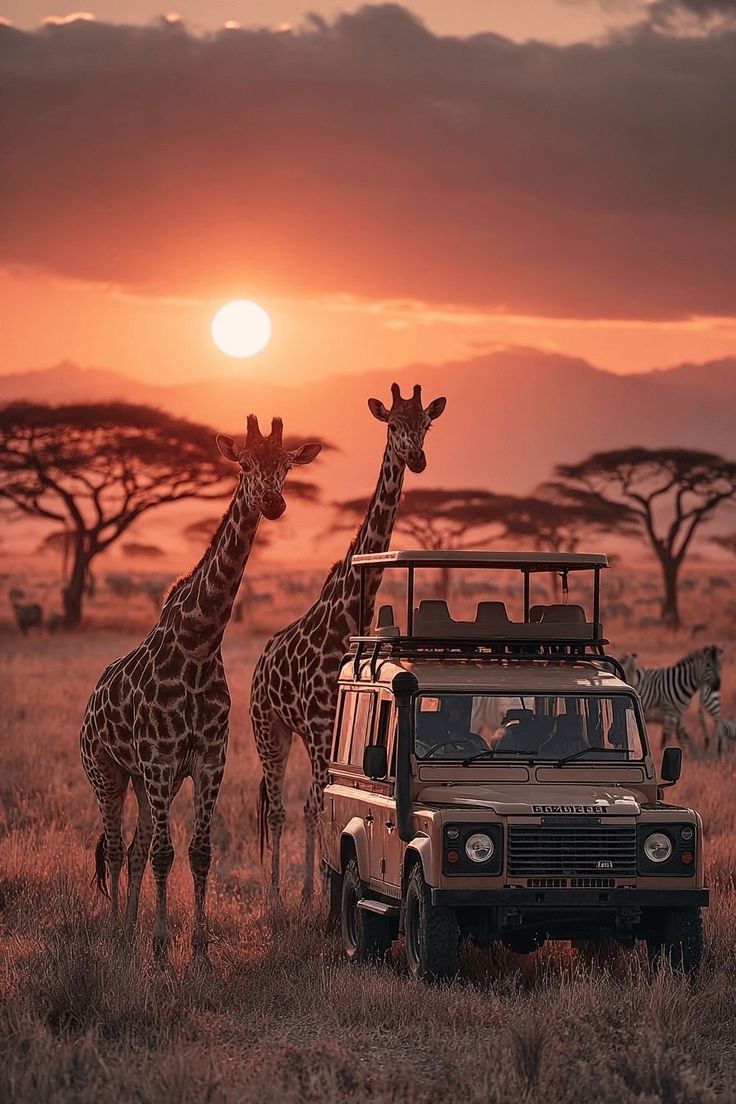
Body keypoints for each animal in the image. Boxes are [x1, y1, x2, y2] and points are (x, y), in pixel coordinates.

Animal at [80, 416, 321, 964]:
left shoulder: (209, 759)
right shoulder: (160, 759)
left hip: (143, 780)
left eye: (287, 466)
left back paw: (129, 928)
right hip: (108, 773)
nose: (273, 504)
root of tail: (89, 706)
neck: (199, 643)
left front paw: (199, 948)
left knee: (133, 848)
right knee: (114, 845)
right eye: (246, 464)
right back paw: (115, 930)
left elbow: (200, 852)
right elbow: (166, 853)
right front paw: (161, 946)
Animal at [250, 383, 446, 900]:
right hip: (269, 730)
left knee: (301, 803)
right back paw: (276, 892)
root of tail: (260, 661)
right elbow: (320, 804)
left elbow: (333, 801)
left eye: (426, 424)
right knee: (279, 807)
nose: (417, 459)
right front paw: (313, 891)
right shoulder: (321, 726)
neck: (349, 609)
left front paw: (322, 885)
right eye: (392, 425)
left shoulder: (334, 724)